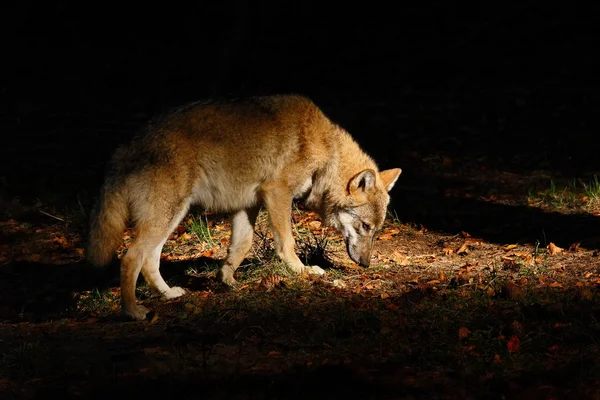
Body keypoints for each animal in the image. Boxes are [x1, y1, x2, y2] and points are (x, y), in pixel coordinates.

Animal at [86, 95, 400, 320]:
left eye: (376, 230)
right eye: (365, 226)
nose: (366, 264)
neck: (326, 152)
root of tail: (125, 147)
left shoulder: (247, 204)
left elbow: (241, 246)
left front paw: (227, 280)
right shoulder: (277, 193)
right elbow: (286, 243)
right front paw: (302, 271)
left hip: (172, 217)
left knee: (150, 262)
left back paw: (168, 295)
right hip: (167, 216)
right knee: (130, 259)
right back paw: (132, 312)